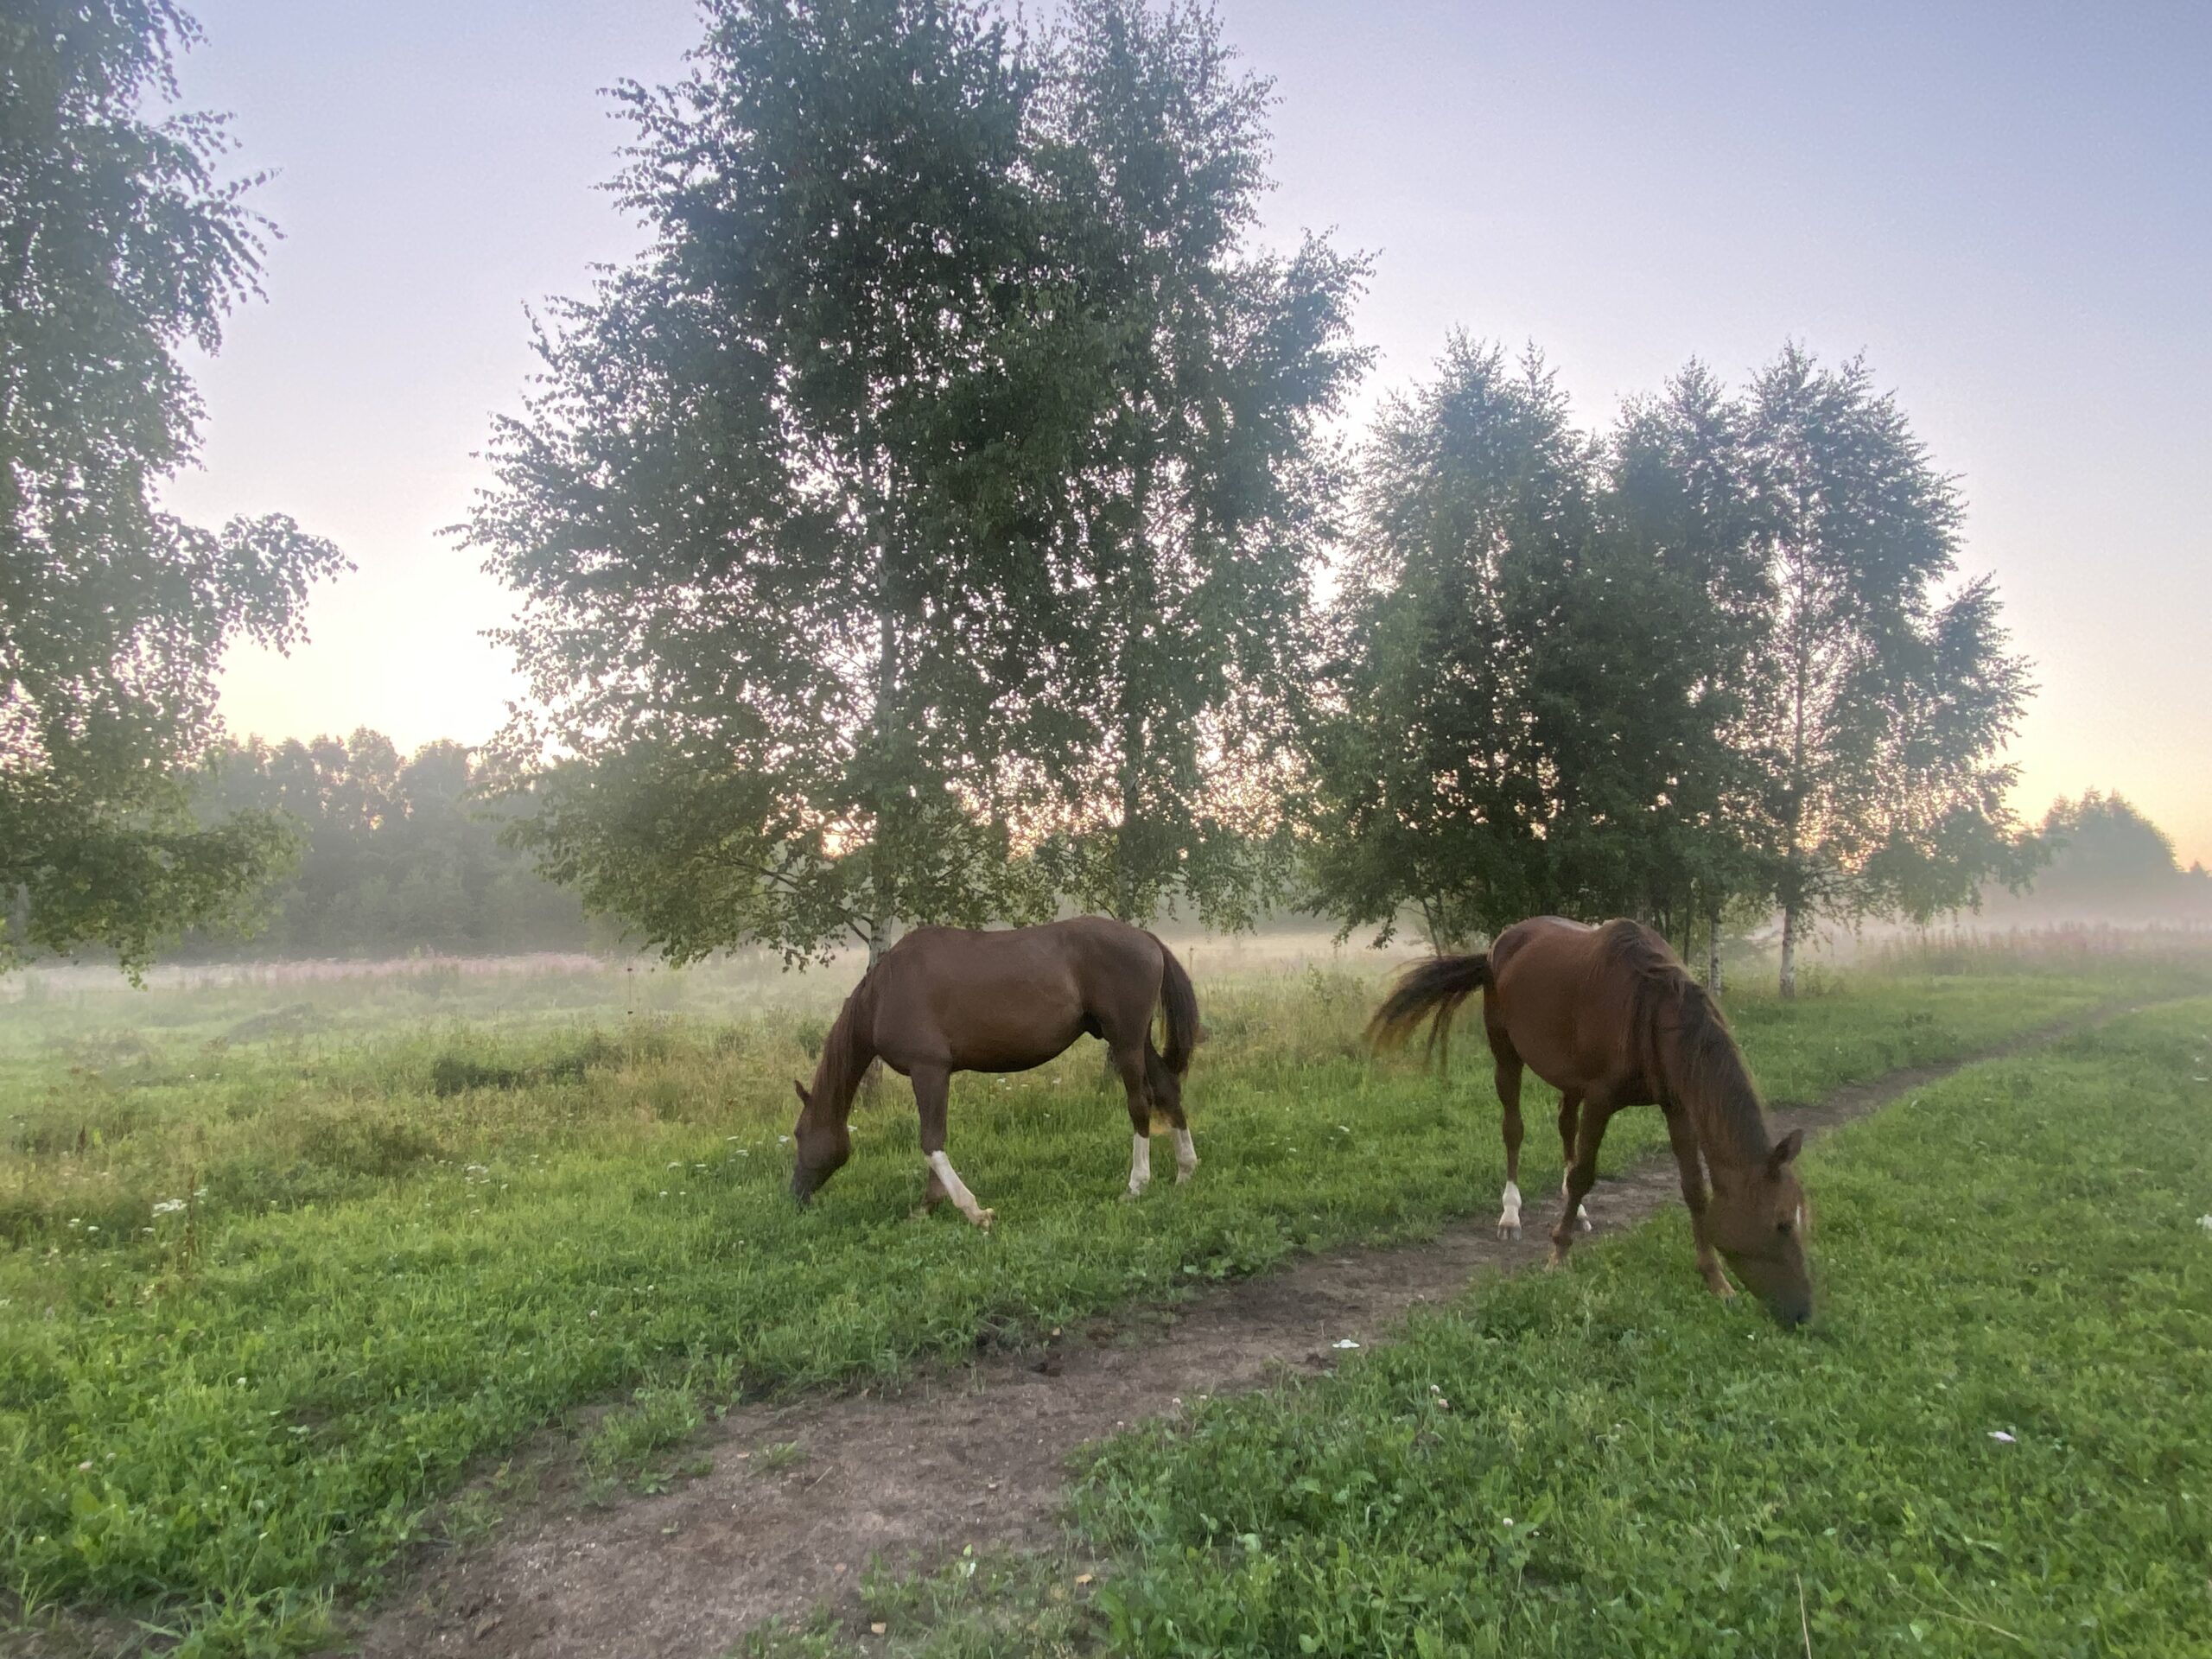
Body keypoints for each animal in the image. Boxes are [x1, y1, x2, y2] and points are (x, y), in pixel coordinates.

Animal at [789, 917, 1203, 1228]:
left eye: (798, 1134)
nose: (796, 1195)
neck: (884, 994)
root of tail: (1146, 938)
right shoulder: (934, 1075)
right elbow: (934, 1140)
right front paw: (929, 1206)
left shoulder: (929, 1070)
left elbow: (931, 1141)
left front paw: (972, 1210)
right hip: (1136, 1040)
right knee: (1168, 1089)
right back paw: (1185, 1173)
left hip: (1125, 1041)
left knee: (1140, 1102)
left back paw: (1136, 1185)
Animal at [1369, 916, 1813, 1324]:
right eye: (1780, 1224)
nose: (1802, 1314)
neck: (1650, 1009)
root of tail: (1499, 944)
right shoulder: (1601, 1099)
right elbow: (1585, 1173)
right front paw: (1556, 1257)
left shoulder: (1677, 1107)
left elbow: (1693, 1189)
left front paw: (1717, 1282)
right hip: (1506, 1056)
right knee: (1514, 1130)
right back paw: (1511, 1214)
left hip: (1569, 1079)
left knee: (1565, 1124)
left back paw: (1577, 1212)